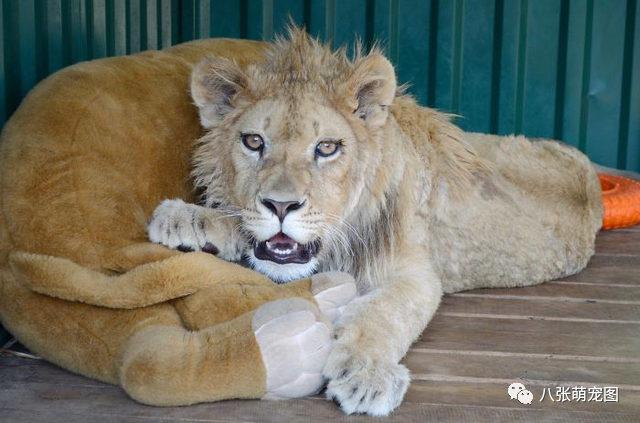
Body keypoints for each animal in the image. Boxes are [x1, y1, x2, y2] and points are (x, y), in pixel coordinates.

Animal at [148, 30, 604, 418]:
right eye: (254, 141)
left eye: (327, 148)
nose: (281, 205)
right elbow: (240, 221)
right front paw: (185, 218)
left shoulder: (417, 274)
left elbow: (383, 311)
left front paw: (366, 374)